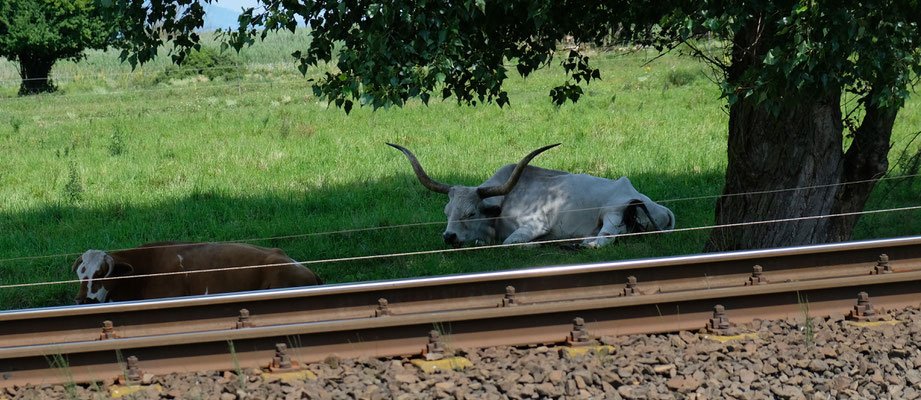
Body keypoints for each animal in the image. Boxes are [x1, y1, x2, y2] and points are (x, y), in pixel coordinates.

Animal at [384, 142, 672, 248]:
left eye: (471, 212)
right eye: (447, 212)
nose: (449, 236)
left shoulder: (534, 224)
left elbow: (509, 243)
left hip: (613, 210)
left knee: (607, 237)